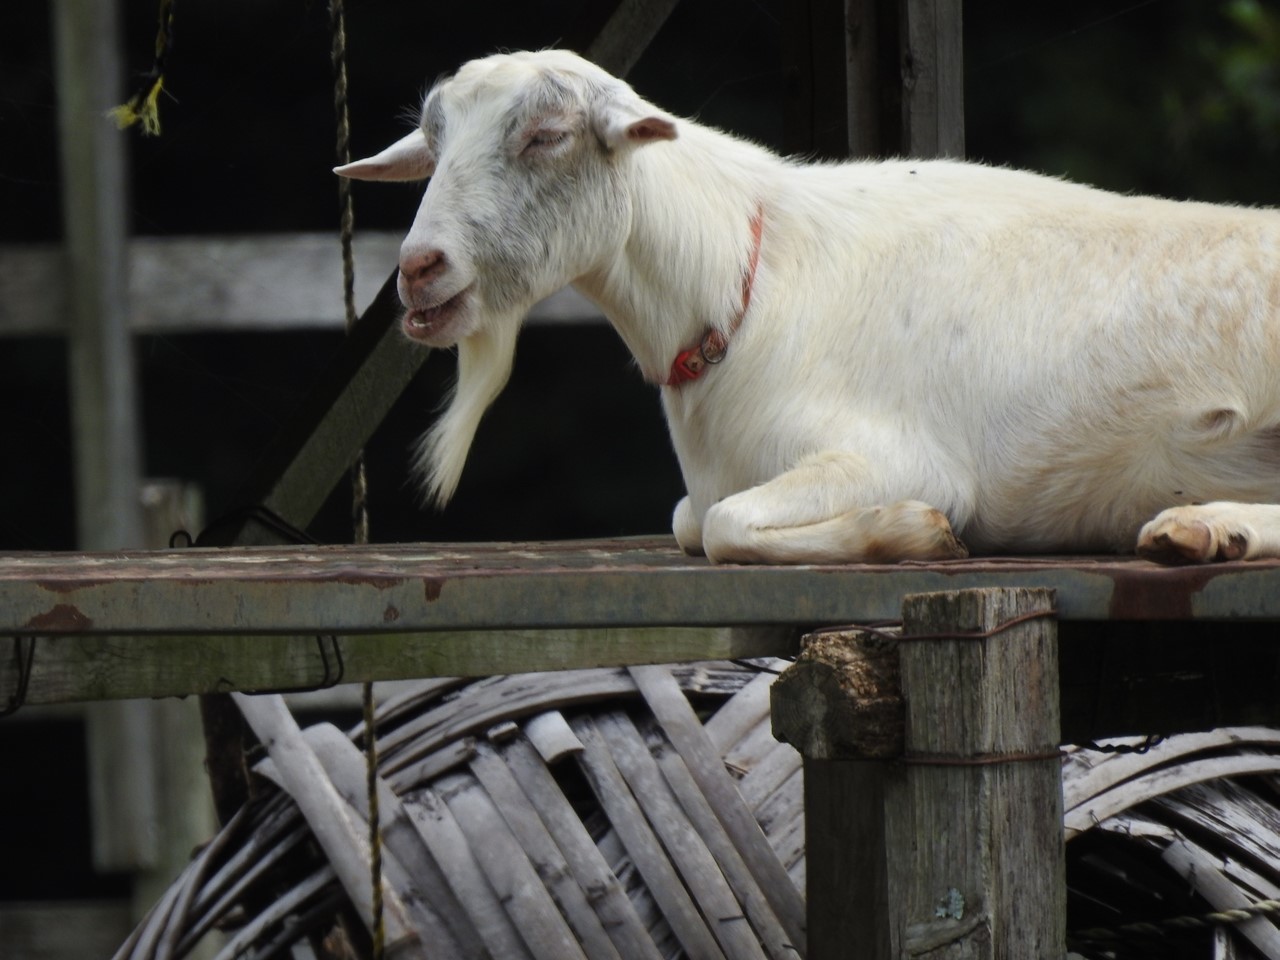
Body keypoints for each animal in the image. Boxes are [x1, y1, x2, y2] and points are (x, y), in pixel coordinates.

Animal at [335, 47, 1280, 563]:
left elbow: (724, 524)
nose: (419, 270)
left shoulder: (900, 455)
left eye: (546, 135)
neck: (745, 284)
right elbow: (691, 518)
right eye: (433, 145)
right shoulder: (710, 486)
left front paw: (915, 531)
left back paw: (1203, 528)